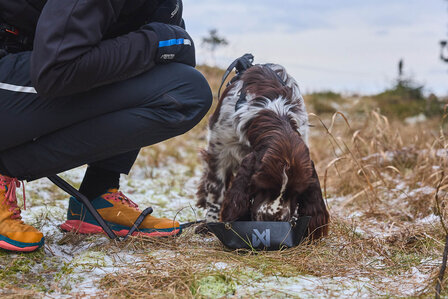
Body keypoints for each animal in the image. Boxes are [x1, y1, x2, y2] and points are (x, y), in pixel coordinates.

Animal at [196, 62, 328, 239]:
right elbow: (217, 192)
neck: (273, 113)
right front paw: (211, 224)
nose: (273, 220)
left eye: (296, 191)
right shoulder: (220, 151)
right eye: (263, 186)